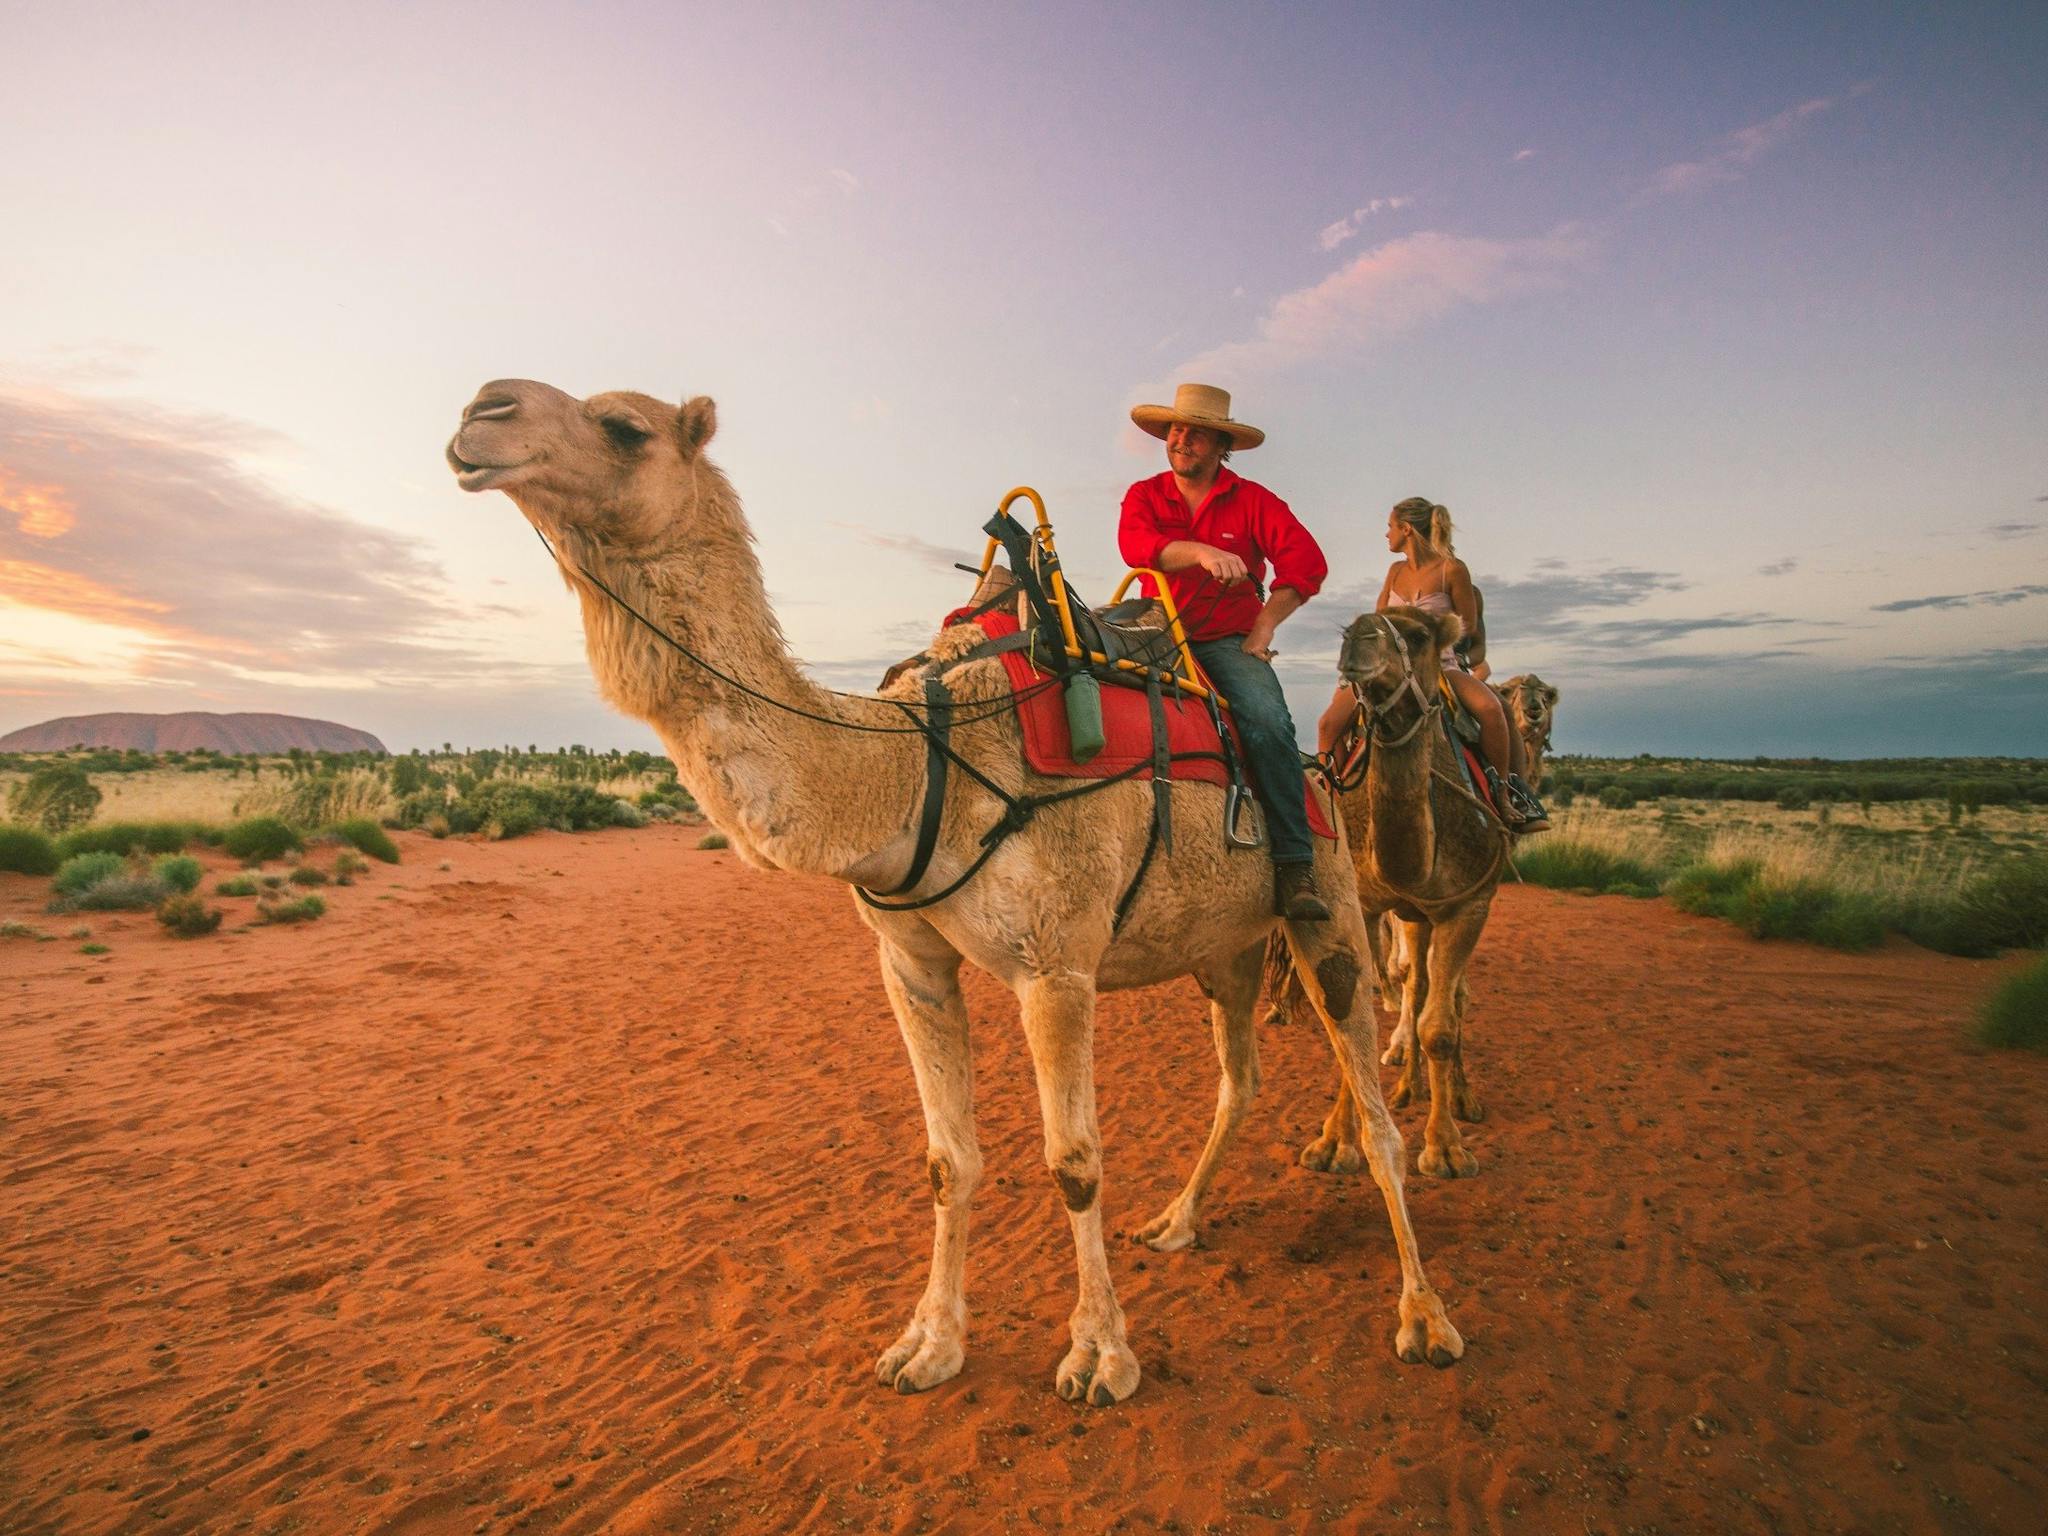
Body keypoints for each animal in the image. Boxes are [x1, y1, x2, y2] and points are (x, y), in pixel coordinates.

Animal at [444, 378, 1462, 1405]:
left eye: (625, 427)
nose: (481, 412)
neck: (913, 762)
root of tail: (1320, 773)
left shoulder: (1056, 968)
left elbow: (1075, 1162)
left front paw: (1100, 1356)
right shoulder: (911, 961)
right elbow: (946, 1159)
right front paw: (928, 1344)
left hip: (1330, 904)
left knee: (1372, 1103)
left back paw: (1424, 1316)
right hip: (1227, 948)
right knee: (1239, 1077)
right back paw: (1177, 1221)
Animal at [1276, 608, 1511, 1181]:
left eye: (1421, 636)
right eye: (1349, 627)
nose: (1357, 642)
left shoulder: (1469, 904)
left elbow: (1440, 1029)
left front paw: (1445, 1148)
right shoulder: (1363, 903)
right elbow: (1353, 1016)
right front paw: (1335, 1143)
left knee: (1446, 998)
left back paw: (1457, 1097)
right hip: (1411, 915)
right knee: (1416, 981)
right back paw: (1408, 1087)